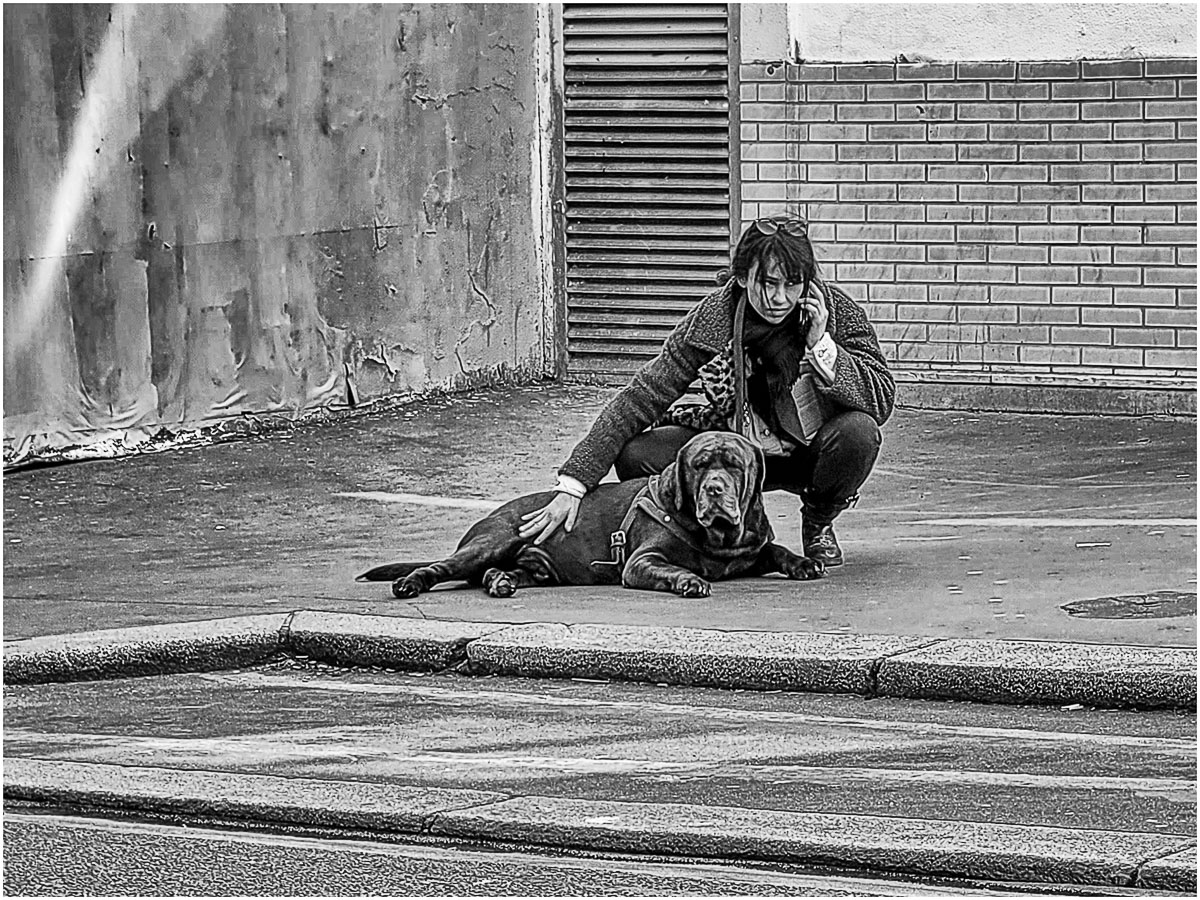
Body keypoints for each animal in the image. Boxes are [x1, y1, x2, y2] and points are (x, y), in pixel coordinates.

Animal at [358, 431, 825, 598]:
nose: (714, 489)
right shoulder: (641, 562)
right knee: (443, 567)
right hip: (495, 539)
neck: (722, 538)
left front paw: (804, 563)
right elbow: (671, 568)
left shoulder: (751, 548)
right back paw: (411, 583)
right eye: (700, 465)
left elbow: (776, 550)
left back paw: (503, 581)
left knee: (499, 572)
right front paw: (690, 580)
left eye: (734, 465)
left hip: (537, 566)